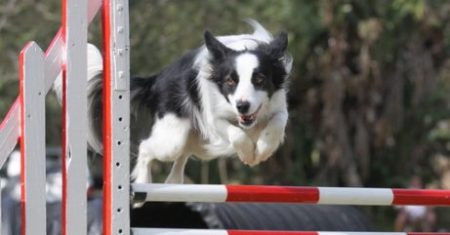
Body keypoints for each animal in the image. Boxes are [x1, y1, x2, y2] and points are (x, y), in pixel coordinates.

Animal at [53, 20, 292, 185]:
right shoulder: (214, 117)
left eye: (259, 79)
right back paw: (143, 184)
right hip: (173, 136)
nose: (242, 106)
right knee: (147, 148)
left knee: (182, 155)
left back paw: (173, 182)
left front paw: (262, 150)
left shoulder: (277, 106)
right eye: (230, 81)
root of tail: (157, 79)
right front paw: (249, 154)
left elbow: (278, 121)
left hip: (192, 139)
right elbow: (235, 132)